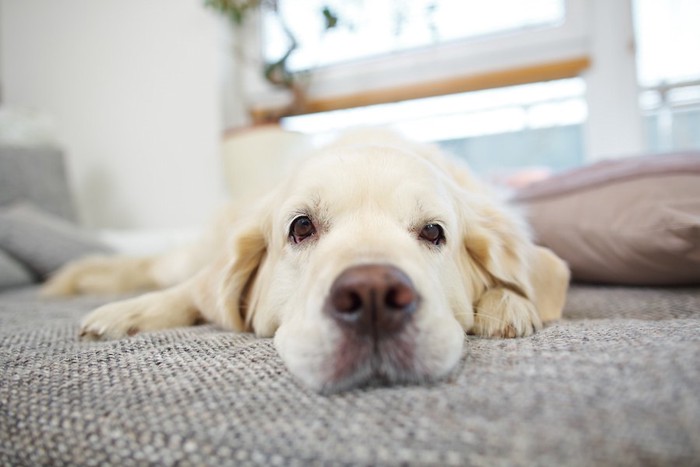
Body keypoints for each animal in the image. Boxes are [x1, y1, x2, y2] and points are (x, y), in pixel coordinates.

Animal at [42, 133, 568, 394]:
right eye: (300, 227)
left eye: (433, 232)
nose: (373, 295)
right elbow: (194, 293)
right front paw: (129, 313)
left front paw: (509, 304)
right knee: (158, 269)